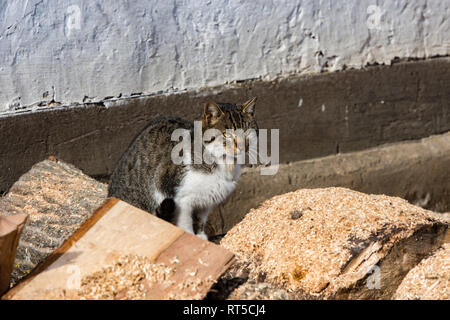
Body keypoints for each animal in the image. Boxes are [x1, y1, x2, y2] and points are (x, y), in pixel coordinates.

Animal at [107, 98, 258, 240]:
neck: (225, 164)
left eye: (247, 131)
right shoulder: (180, 199)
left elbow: (200, 220)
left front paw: (200, 237)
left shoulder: (206, 201)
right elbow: (185, 224)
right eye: (227, 135)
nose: (243, 146)